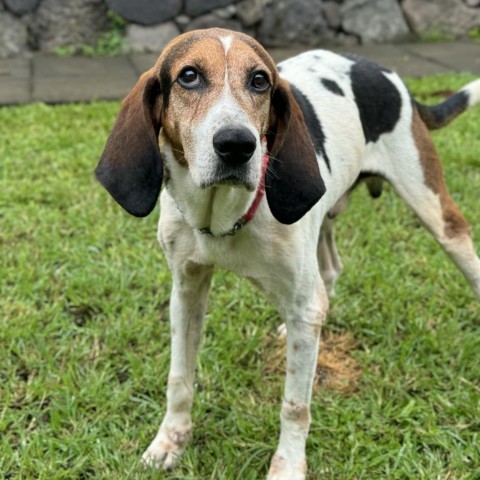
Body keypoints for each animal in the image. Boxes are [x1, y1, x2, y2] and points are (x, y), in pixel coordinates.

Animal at [94, 28, 480, 478]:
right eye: (188, 76)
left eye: (260, 80)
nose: (237, 144)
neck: (223, 216)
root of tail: (385, 72)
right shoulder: (186, 289)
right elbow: (179, 379)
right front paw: (170, 441)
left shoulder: (303, 304)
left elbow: (295, 406)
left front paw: (288, 466)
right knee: (331, 270)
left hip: (433, 209)